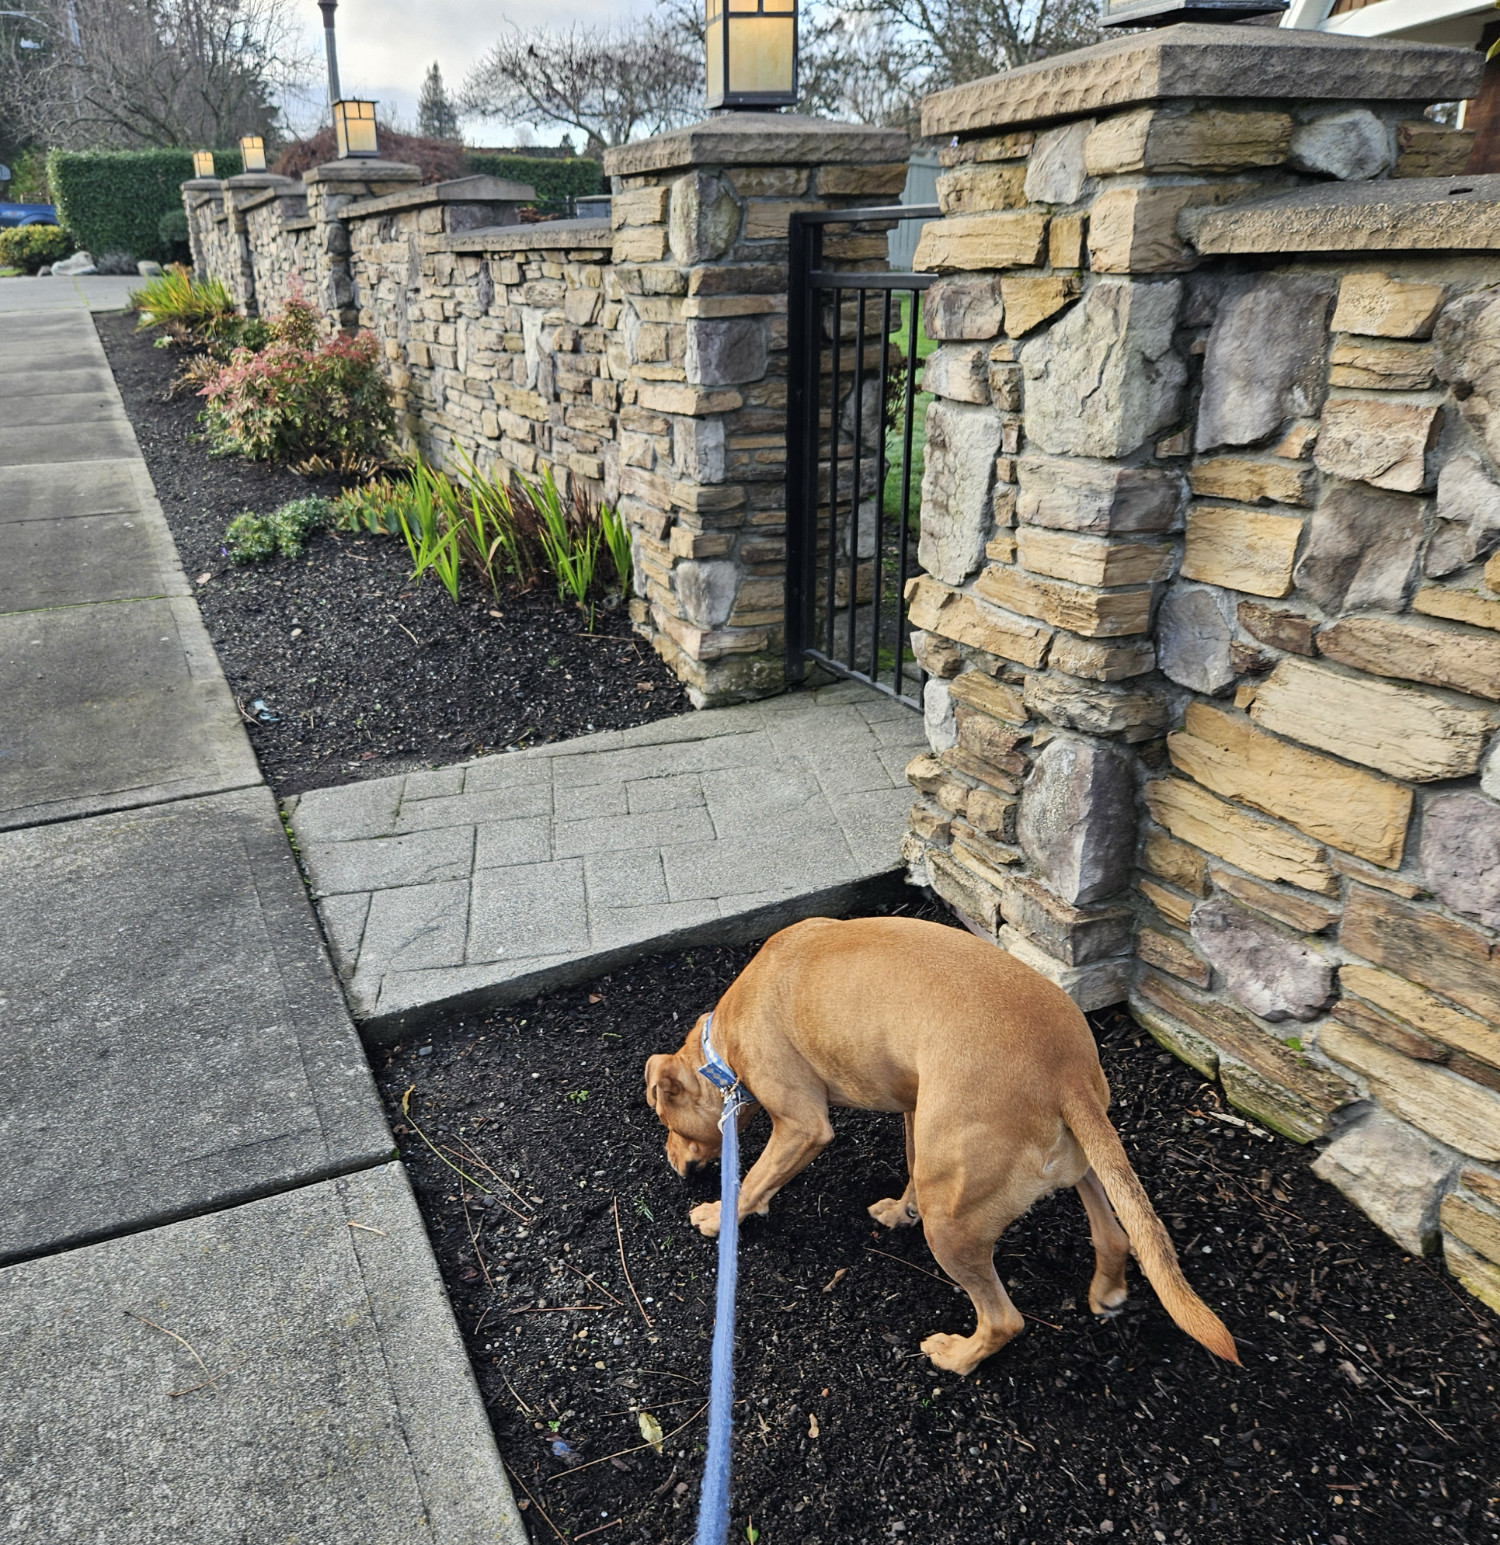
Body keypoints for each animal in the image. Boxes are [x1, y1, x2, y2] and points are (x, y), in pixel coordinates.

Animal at [645, 908, 1242, 1371]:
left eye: (666, 1122)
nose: (672, 1163)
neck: (723, 1044)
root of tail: (1066, 1071)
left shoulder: (802, 1126)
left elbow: (752, 1181)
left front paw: (719, 1217)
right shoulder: (915, 1108)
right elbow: (909, 1166)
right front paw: (897, 1211)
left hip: (952, 1223)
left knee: (1004, 1319)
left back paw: (958, 1356)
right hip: (1073, 1157)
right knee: (1114, 1233)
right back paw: (1107, 1290)